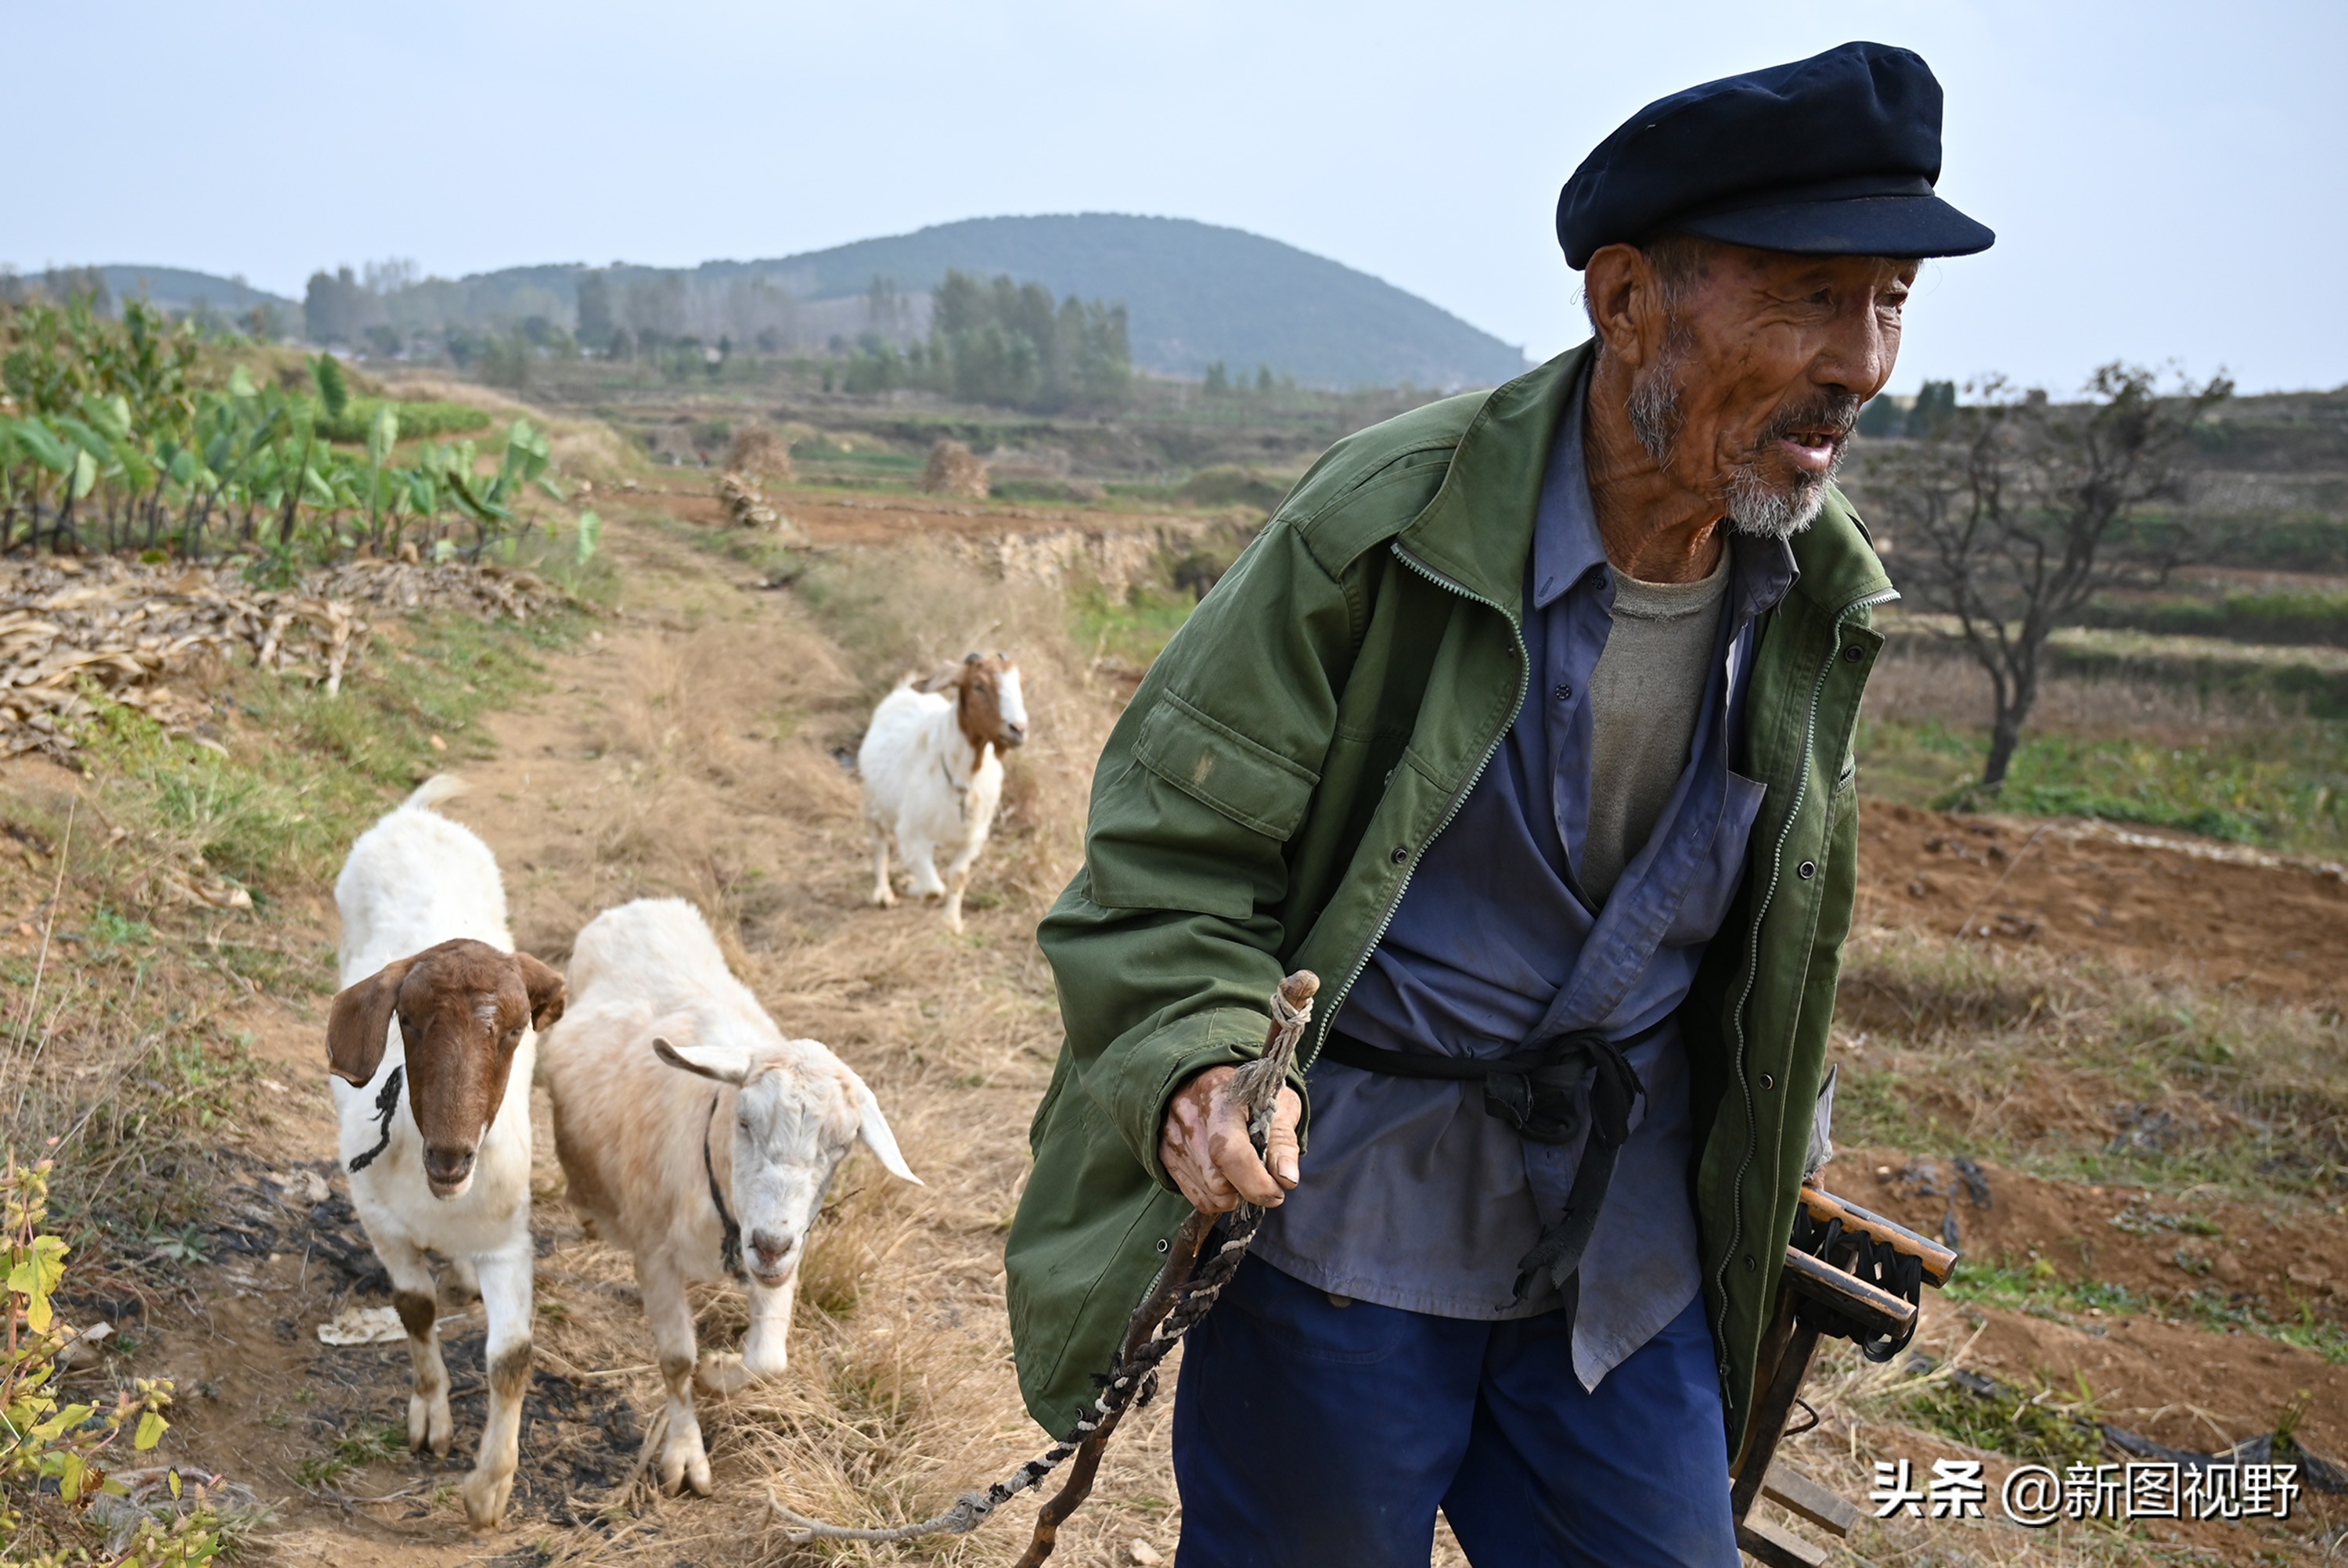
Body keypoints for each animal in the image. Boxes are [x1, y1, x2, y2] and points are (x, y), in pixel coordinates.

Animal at [326, 779, 564, 1540]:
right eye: (408, 1020)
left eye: (515, 1031)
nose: (454, 1156)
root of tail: (416, 816)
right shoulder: (380, 1221)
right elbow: (414, 1308)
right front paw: (430, 1418)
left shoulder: (508, 1241)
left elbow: (511, 1357)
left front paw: (489, 1491)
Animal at [850, 648, 1024, 930]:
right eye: (979, 685)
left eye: (1019, 684)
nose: (1018, 729)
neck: (964, 776)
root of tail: (903, 691)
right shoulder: (912, 834)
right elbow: (934, 888)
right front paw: (910, 887)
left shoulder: (973, 838)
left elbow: (957, 877)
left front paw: (952, 922)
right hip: (874, 803)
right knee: (879, 844)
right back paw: (884, 894)